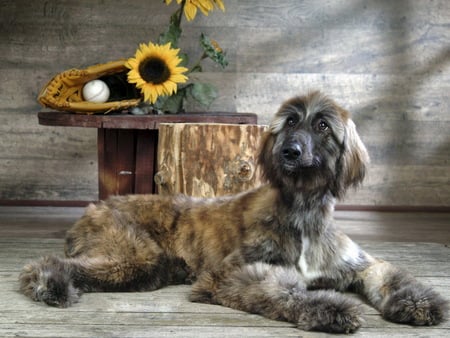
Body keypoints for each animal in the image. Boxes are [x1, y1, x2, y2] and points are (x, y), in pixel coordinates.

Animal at [19, 90, 444, 332]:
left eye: (323, 125)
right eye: (291, 121)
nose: (289, 152)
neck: (302, 211)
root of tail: (94, 207)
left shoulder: (357, 263)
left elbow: (388, 274)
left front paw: (419, 302)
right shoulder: (231, 274)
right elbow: (279, 288)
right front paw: (328, 308)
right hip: (133, 253)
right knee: (50, 263)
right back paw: (47, 283)